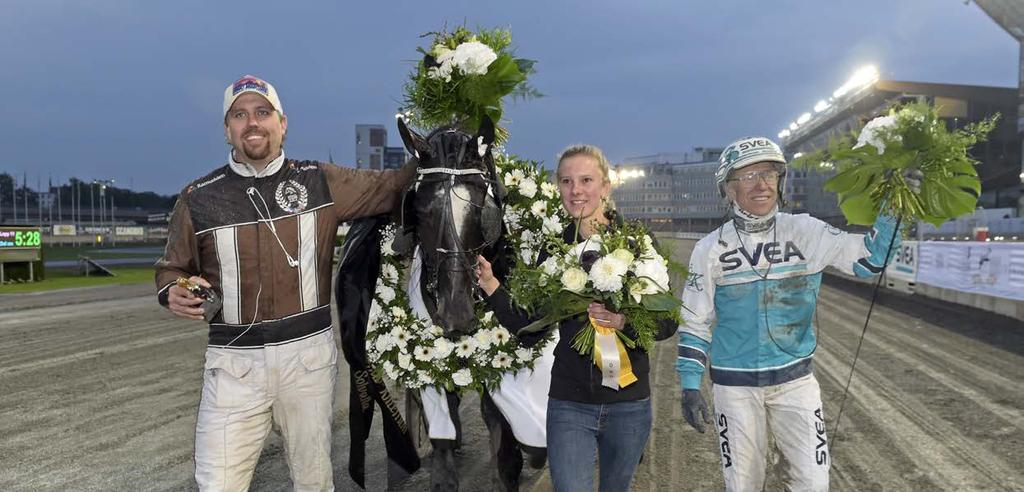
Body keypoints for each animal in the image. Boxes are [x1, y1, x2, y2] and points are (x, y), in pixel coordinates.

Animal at [393, 117, 544, 489]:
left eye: (480, 209)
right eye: (419, 209)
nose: (457, 314)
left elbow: (498, 425)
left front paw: (512, 464)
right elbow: (444, 422)